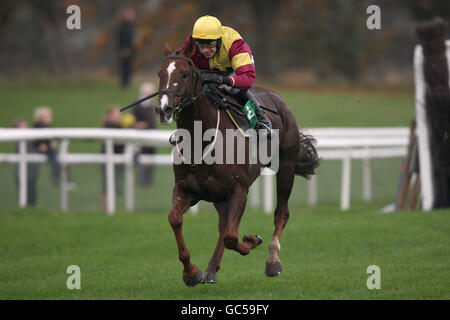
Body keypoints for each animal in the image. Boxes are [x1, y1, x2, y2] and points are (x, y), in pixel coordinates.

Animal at [156, 38, 318, 286]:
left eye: (184, 74)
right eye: (160, 73)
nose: (164, 109)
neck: (201, 140)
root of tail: (277, 98)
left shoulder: (239, 190)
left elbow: (232, 236)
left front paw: (252, 241)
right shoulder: (187, 189)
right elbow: (175, 219)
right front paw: (191, 272)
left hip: (286, 167)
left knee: (281, 212)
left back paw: (273, 261)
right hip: (219, 196)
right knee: (224, 225)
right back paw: (211, 269)